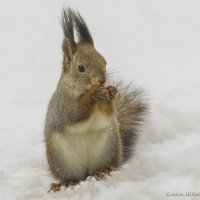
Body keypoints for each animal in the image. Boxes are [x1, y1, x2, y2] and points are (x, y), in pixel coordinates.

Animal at [45, 8, 148, 192]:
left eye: (104, 60)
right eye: (81, 67)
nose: (102, 80)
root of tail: (87, 174)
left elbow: (107, 114)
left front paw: (112, 92)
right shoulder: (64, 104)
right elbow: (77, 111)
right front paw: (95, 93)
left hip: (109, 146)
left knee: (103, 167)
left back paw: (104, 170)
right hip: (61, 159)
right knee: (71, 176)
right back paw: (65, 183)